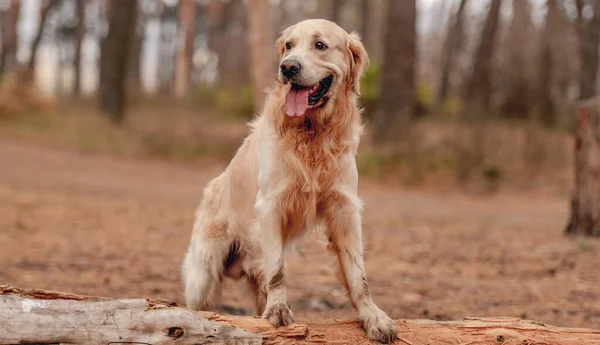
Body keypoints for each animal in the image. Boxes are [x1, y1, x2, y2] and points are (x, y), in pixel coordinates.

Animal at [183, 19, 398, 344]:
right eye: (288, 46)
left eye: (320, 45)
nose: (288, 67)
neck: (312, 134)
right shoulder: (270, 206)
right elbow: (278, 270)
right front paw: (279, 309)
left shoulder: (344, 208)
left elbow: (359, 276)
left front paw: (374, 317)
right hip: (203, 274)